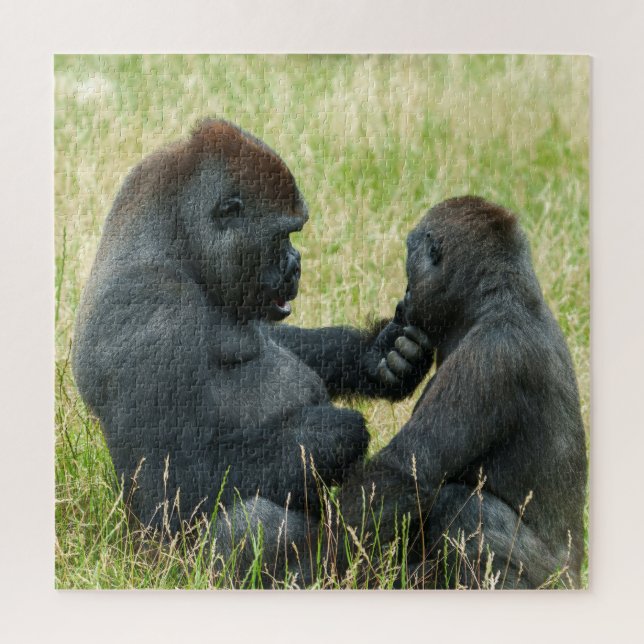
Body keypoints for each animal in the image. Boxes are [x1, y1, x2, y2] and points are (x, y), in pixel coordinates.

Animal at [72, 119, 431, 584]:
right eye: (283, 235)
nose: (296, 265)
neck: (176, 241)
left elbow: (283, 342)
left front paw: (381, 355)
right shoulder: (154, 309)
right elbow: (175, 484)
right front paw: (332, 434)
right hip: (160, 567)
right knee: (249, 519)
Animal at [338, 196, 587, 589]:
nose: (404, 297)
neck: (499, 297)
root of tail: (576, 575)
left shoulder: (491, 356)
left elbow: (405, 472)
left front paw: (310, 560)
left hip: (551, 582)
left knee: (464, 506)